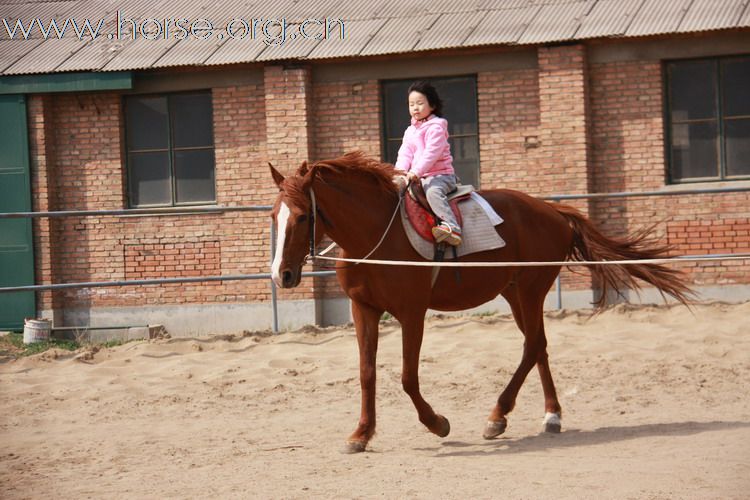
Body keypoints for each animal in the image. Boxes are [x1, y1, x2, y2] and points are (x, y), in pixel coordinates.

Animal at [270, 152, 692, 454]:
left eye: (304, 216)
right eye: (275, 215)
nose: (282, 275)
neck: (375, 236)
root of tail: (553, 210)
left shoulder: (412, 313)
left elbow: (407, 377)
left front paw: (437, 423)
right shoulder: (364, 310)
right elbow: (366, 373)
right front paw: (361, 433)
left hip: (531, 290)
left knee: (532, 347)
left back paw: (498, 416)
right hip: (514, 294)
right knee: (539, 347)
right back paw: (551, 416)